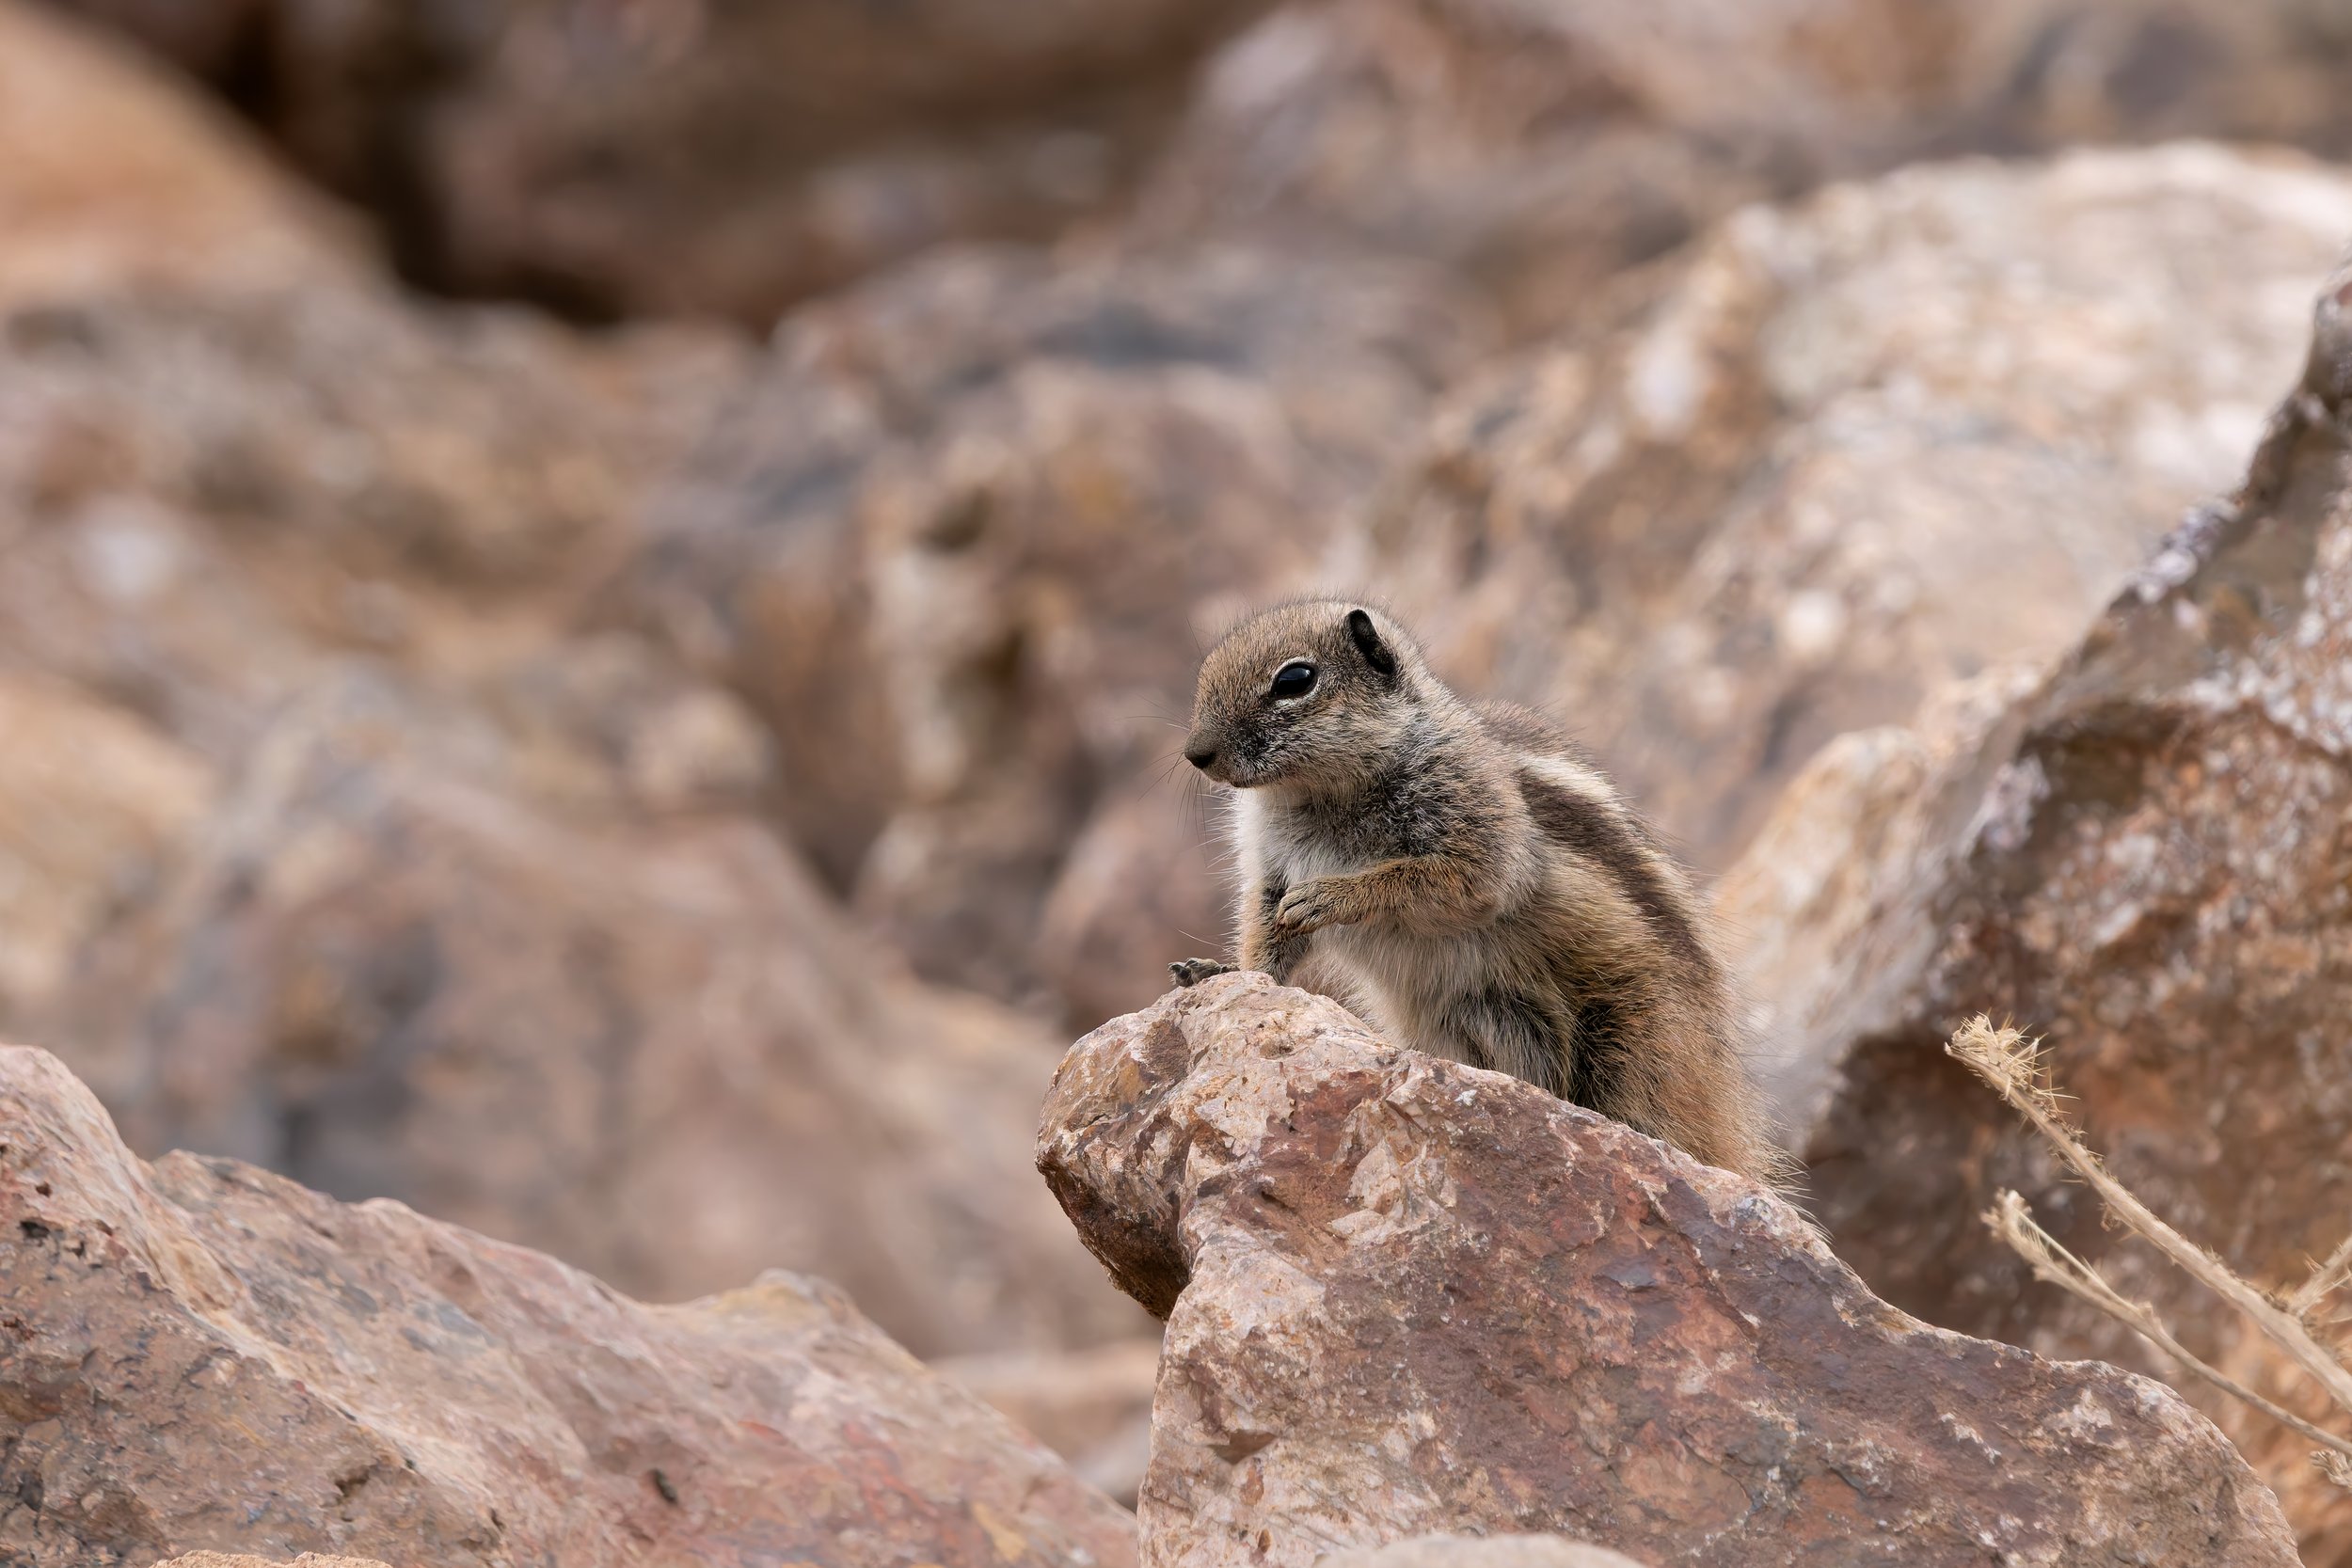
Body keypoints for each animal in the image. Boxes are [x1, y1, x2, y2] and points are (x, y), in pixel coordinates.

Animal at [1168, 599, 1782, 1186]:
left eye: (1295, 680)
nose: (1196, 753)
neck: (1314, 794)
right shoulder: (1268, 871)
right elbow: (1267, 937)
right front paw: (1219, 971)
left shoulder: (1473, 819)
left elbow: (1448, 879)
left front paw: (1329, 895)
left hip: (1637, 1047)